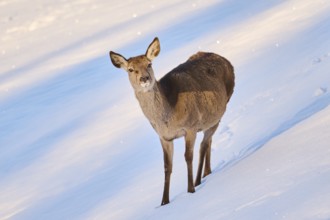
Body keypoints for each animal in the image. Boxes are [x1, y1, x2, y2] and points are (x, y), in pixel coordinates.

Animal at [109, 37, 233, 205]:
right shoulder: (164, 137)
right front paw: (164, 201)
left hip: (220, 110)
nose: (144, 78)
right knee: (208, 142)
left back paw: (198, 180)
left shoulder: (190, 127)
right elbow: (167, 166)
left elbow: (188, 157)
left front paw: (190, 190)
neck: (168, 118)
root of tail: (224, 58)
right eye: (130, 69)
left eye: (149, 64)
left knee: (203, 145)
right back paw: (206, 173)